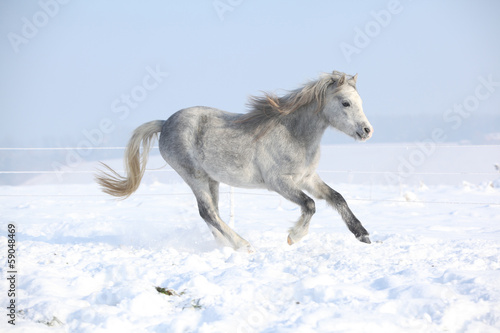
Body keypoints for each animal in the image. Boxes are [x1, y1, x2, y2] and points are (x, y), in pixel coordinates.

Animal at [95, 70, 374, 252]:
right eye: (345, 103)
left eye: (360, 102)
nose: (367, 131)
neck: (293, 133)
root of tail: (164, 123)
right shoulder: (279, 183)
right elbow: (310, 204)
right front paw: (294, 237)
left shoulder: (307, 178)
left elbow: (337, 198)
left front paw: (363, 235)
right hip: (193, 176)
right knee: (207, 212)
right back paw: (243, 245)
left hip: (212, 180)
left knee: (212, 214)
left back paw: (225, 245)